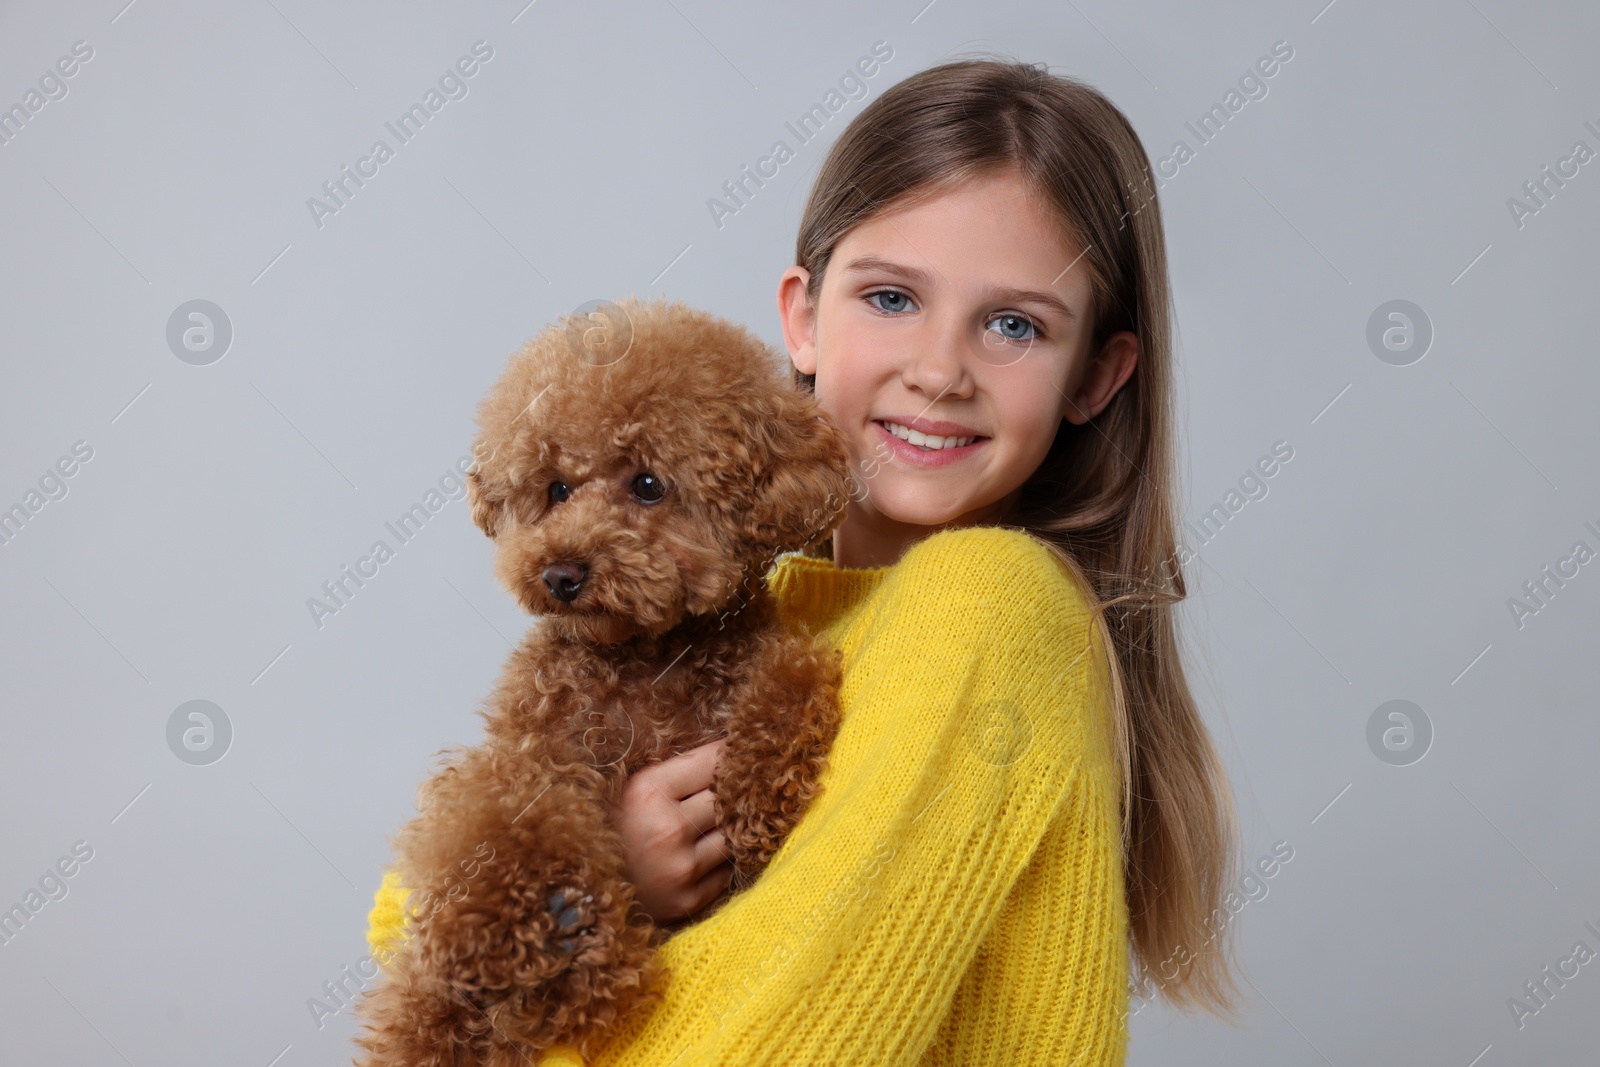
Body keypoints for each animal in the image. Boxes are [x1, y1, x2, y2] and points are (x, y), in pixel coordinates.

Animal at [350, 299, 851, 1067]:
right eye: (555, 489)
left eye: (647, 483)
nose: (561, 573)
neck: (646, 658)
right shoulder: (531, 741)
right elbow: (494, 810)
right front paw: (517, 917)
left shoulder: (763, 659)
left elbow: (791, 676)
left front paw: (754, 793)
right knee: (430, 1008)